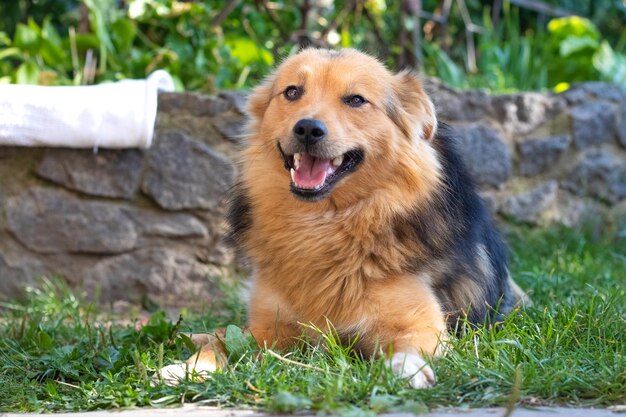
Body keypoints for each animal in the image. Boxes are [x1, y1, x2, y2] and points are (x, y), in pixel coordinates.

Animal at [157, 48, 528, 386]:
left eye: (356, 99)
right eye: (292, 92)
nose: (307, 129)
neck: (324, 223)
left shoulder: (422, 322)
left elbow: (412, 343)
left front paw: (406, 369)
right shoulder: (269, 328)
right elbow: (224, 342)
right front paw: (190, 367)